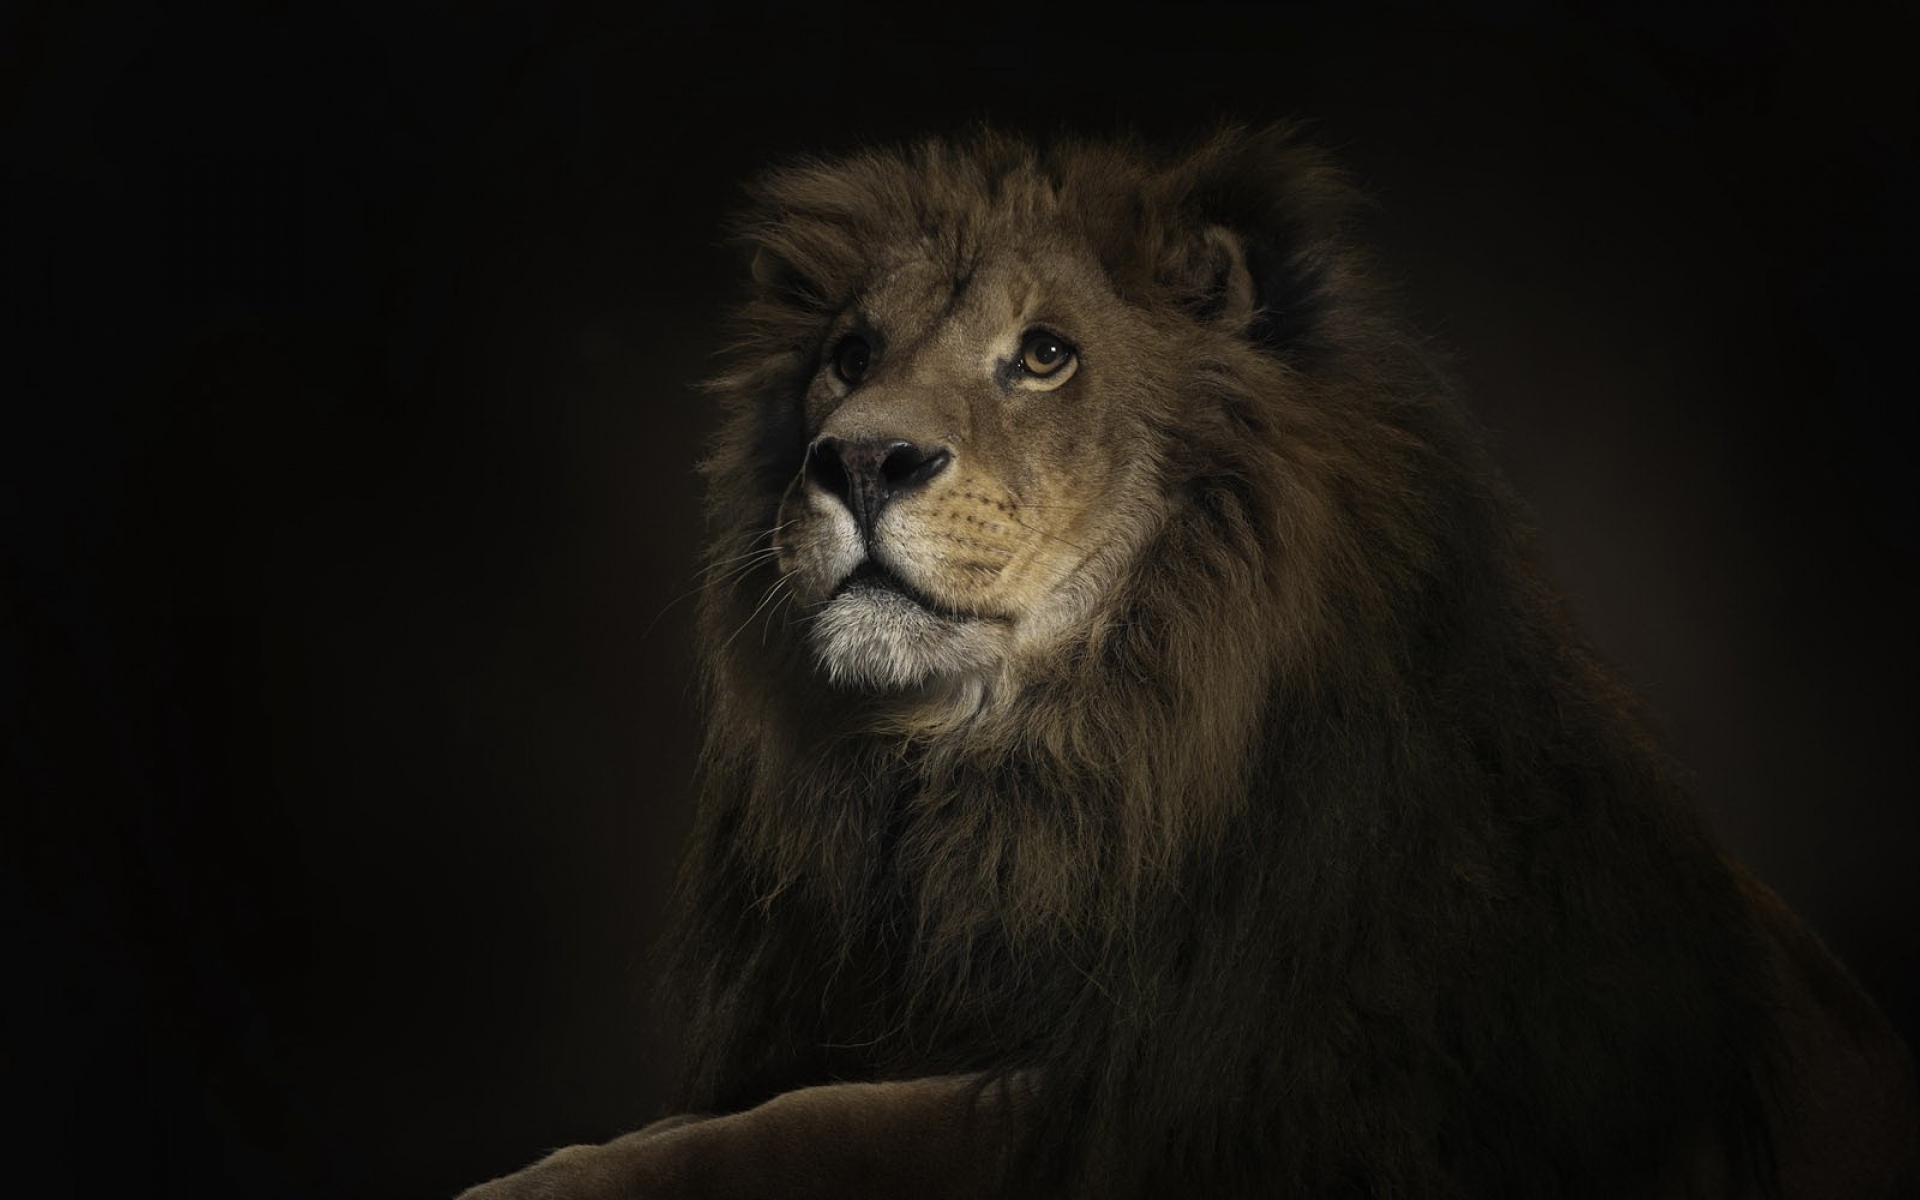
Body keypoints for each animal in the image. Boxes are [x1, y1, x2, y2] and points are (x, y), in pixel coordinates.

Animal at [460, 126, 1918, 1198]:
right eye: (848, 357)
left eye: (1046, 354)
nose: (859, 458)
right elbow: (738, 1120)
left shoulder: (1198, 1098)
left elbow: (810, 1131)